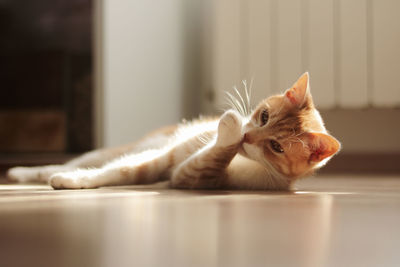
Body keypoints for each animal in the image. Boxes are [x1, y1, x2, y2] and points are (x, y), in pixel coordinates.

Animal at [7, 73, 340, 191]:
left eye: (277, 147)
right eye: (264, 116)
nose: (248, 137)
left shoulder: (191, 174)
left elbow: (211, 157)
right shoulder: (162, 157)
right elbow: (117, 170)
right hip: (124, 148)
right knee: (77, 161)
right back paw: (23, 172)